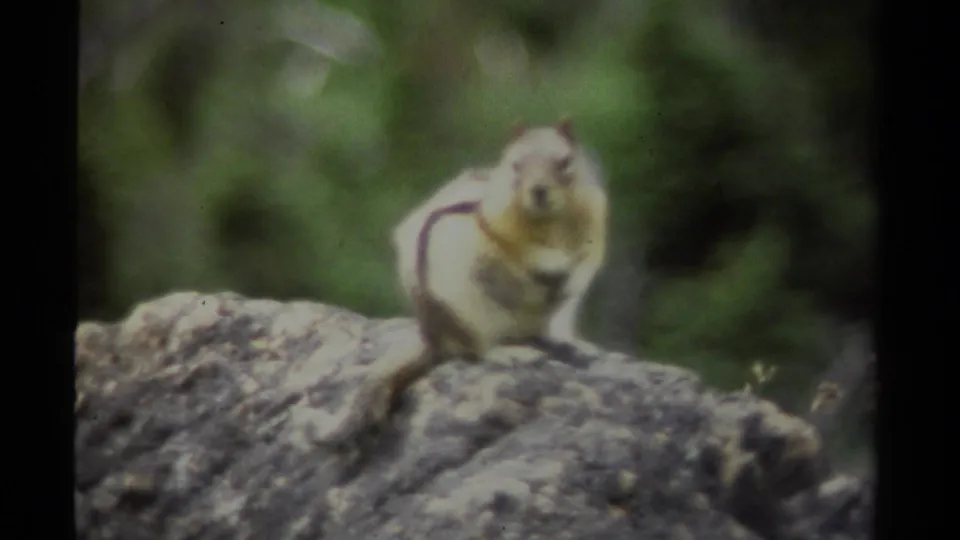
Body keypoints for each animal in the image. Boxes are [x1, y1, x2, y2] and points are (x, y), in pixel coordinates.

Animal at [324, 117, 608, 444]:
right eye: (516, 165)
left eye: (565, 162)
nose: (539, 191)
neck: (549, 221)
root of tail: (432, 338)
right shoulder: (496, 219)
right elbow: (514, 246)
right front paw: (548, 259)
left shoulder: (594, 219)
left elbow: (589, 258)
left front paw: (572, 273)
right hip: (466, 315)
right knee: (476, 350)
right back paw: (510, 352)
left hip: (554, 315)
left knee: (552, 325)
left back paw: (572, 343)